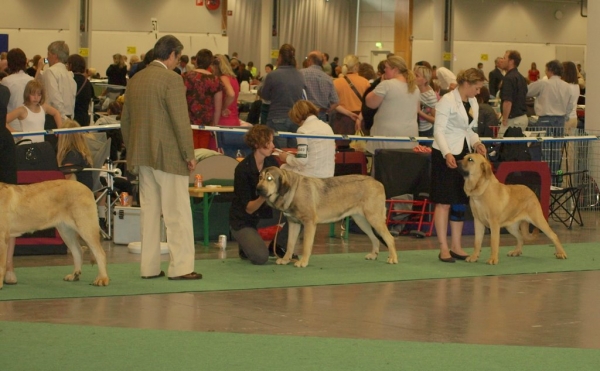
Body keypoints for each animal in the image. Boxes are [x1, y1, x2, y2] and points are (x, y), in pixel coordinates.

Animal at [255, 168, 396, 268]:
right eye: (260, 177)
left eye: (269, 178)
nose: (258, 189)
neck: (293, 191)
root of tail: (378, 182)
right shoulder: (294, 223)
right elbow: (290, 244)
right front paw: (285, 260)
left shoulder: (309, 223)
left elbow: (306, 245)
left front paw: (303, 262)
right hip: (361, 220)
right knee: (375, 239)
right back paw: (373, 255)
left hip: (374, 218)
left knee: (389, 238)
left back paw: (393, 258)